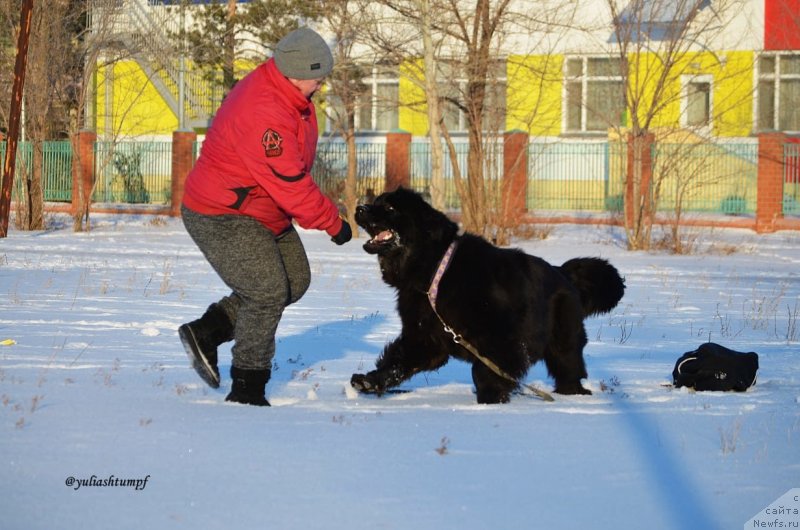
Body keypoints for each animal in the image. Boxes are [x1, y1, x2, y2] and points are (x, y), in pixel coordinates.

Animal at [352, 188, 624, 402]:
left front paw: (490, 400)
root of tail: (563, 272)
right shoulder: (425, 336)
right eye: (376, 201)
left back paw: (573, 394)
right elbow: (397, 360)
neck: (436, 271)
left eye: (389, 207)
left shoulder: (501, 339)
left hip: (563, 340)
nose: (359, 208)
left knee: (569, 368)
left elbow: (485, 372)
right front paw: (369, 381)